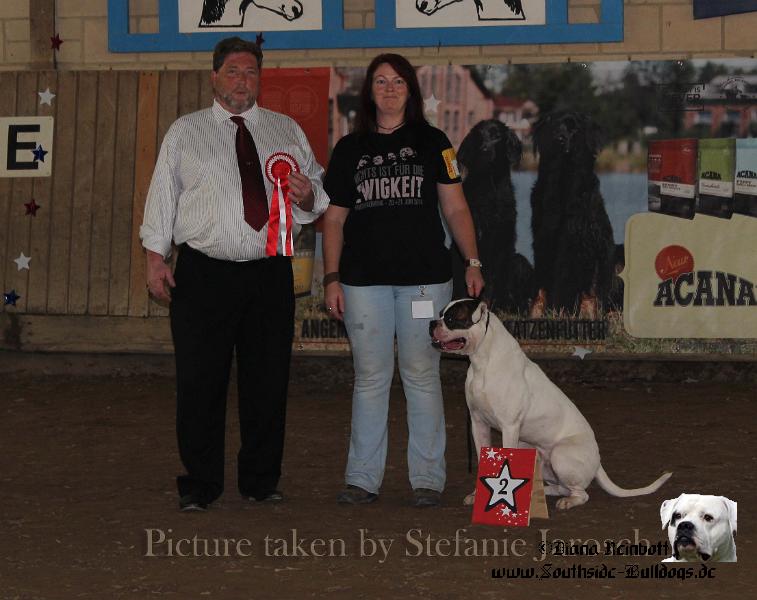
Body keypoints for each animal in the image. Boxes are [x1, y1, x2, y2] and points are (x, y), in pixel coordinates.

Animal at [452, 118, 536, 314]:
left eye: (497, 136)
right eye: (478, 137)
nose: (484, 149)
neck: (489, 189)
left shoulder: (503, 241)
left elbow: (498, 281)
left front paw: (497, 306)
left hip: (519, 261)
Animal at [528, 111, 616, 318]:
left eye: (573, 128)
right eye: (553, 126)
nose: (559, 139)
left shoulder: (579, 240)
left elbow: (572, 284)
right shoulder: (541, 238)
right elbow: (541, 284)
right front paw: (537, 312)